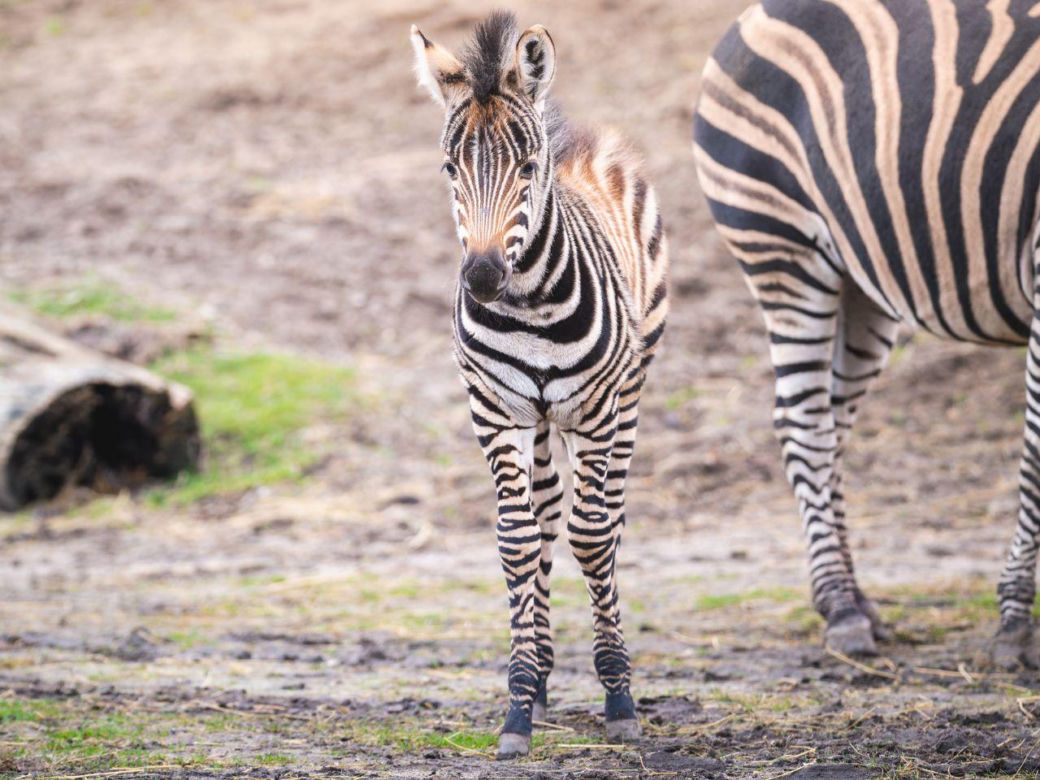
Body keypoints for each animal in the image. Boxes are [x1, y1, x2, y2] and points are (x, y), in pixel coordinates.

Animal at [410, 11, 668, 759]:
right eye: (450, 168)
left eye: (526, 169)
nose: (482, 277)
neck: (527, 302)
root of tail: (577, 140)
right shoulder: (494, 410)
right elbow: (519, 541)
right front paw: (520, 702)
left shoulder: (597, 409)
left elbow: (591, 536)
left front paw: (618, 696)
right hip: (543, 423)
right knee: (549, 516)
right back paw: (547, 675)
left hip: (629, 392)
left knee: (604, 520)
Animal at [693, 0, 1040, 666]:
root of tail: (750, 15)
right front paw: (1015, 623)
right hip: (781, 247)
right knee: (804, 423)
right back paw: (843, 610)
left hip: (863, 281)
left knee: (832, 423)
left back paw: (855, 598)